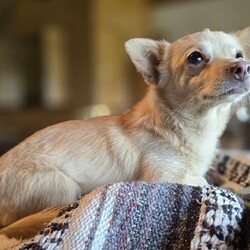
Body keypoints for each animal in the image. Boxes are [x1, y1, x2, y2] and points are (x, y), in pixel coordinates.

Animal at [0, 27, 249, 234]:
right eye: (195, 57)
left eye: (239, 55)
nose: (243, 67)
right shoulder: (164, 177)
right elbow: (204, 182)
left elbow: (214, 179)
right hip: (64, 186)